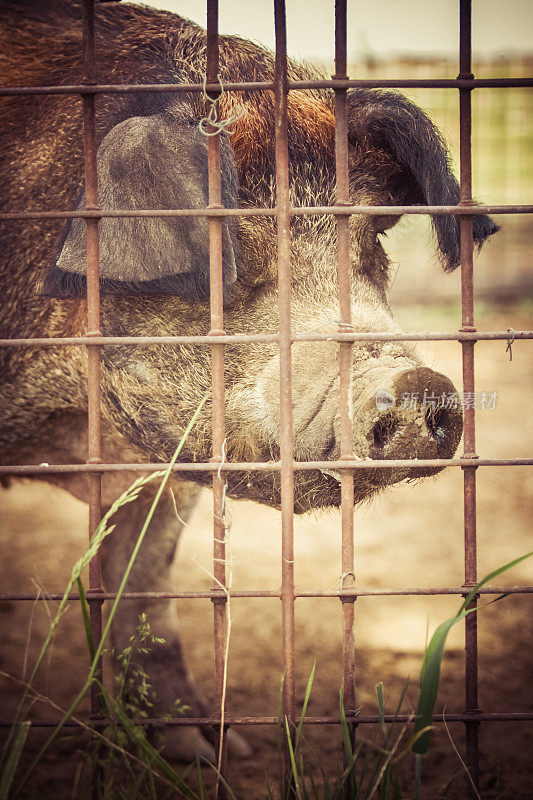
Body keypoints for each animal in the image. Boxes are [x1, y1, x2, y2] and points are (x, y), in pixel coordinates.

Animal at [1, 0, 498, 764]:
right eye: (234, 266)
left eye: (372, 248)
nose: (418, 380)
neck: (74, 429)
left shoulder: (161, 480)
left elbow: (143, 592)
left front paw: (207, 752)